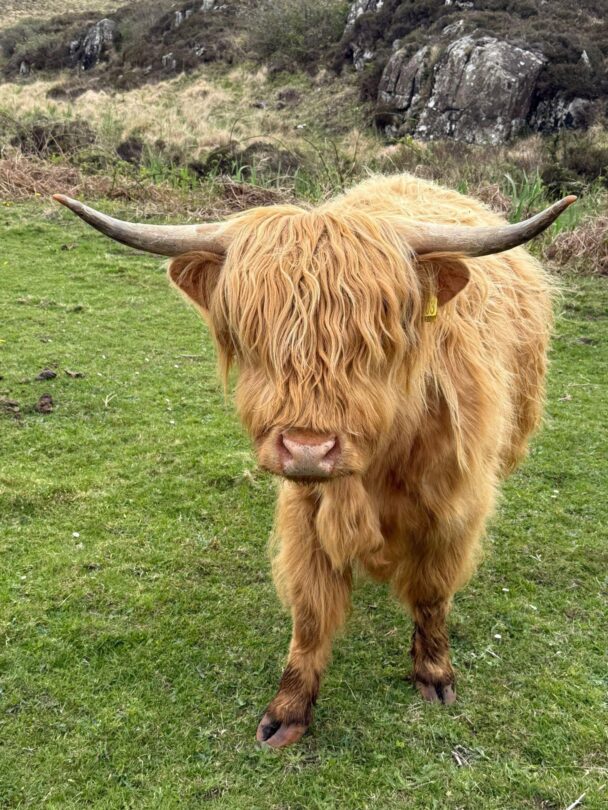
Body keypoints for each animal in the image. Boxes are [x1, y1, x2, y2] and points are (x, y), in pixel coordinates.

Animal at [53, 175, 575, 748]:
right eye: (253, 337)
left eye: (377, 338)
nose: (308, 447)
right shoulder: (307, 509)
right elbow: (310, 609)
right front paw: (288, 709)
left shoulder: (454, 507)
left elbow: (433, 592)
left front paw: (435, 673)